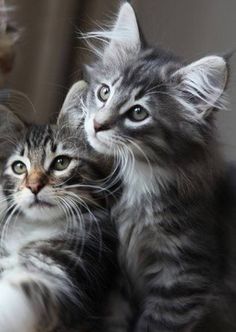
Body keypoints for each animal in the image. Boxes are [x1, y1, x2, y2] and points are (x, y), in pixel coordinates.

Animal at [68, 2, 234, 332]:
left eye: (137, 113)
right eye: (104, 92)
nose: (97, 124)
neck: (140, 176)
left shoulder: (184, 279)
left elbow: (156, 325)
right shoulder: (118, 274)